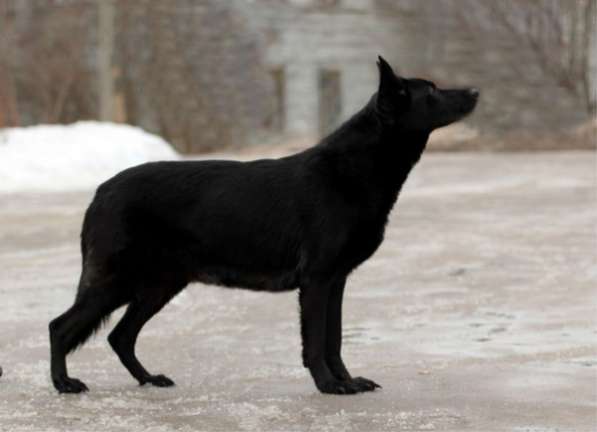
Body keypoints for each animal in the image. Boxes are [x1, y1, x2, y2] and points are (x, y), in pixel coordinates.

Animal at [49, 56, 478, 394]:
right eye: (432, 91)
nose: (475, 90)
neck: (353, 171)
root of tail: (101, 190)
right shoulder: (317, 280)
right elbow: (316, 342)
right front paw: (329, 385)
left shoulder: (336, 281)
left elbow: (335, 340)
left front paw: (347, 380)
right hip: (118, 281)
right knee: (60, 326)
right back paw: (63, 384)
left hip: (159, 285)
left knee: (120, 336)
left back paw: (149, 379)